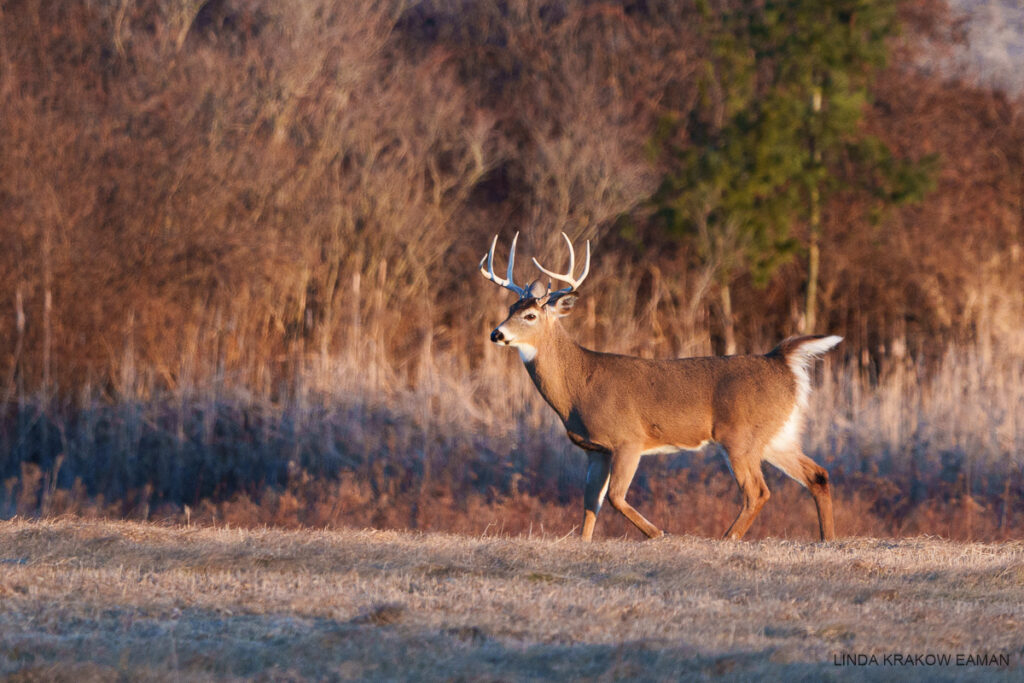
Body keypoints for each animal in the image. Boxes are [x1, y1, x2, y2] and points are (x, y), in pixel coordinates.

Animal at [479, 232, 839, 540]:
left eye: (530, 316)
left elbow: (615, 497)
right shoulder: (595, 450)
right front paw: (585, 542)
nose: (496, 333)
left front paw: (660, 533)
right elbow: (590, 504)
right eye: (510, 309)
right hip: (777, 434)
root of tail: (782, 360)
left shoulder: (628, 439)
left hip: (740, 435)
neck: (579, 387)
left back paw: (727, 538)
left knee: (757, 491)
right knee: (817, 475)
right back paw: (827, 539)